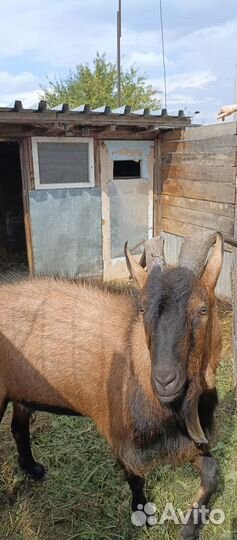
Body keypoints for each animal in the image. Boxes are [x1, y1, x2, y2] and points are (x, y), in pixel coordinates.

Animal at [0, 230, 224, 536]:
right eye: (142, 308)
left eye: (202, 309)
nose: (164, 380)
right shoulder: (122, 439)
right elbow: (136, 478)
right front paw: (143, 516)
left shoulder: (185, 439)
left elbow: (211, 472)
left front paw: (189, 529)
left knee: (19, 428)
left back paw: (33, 469)